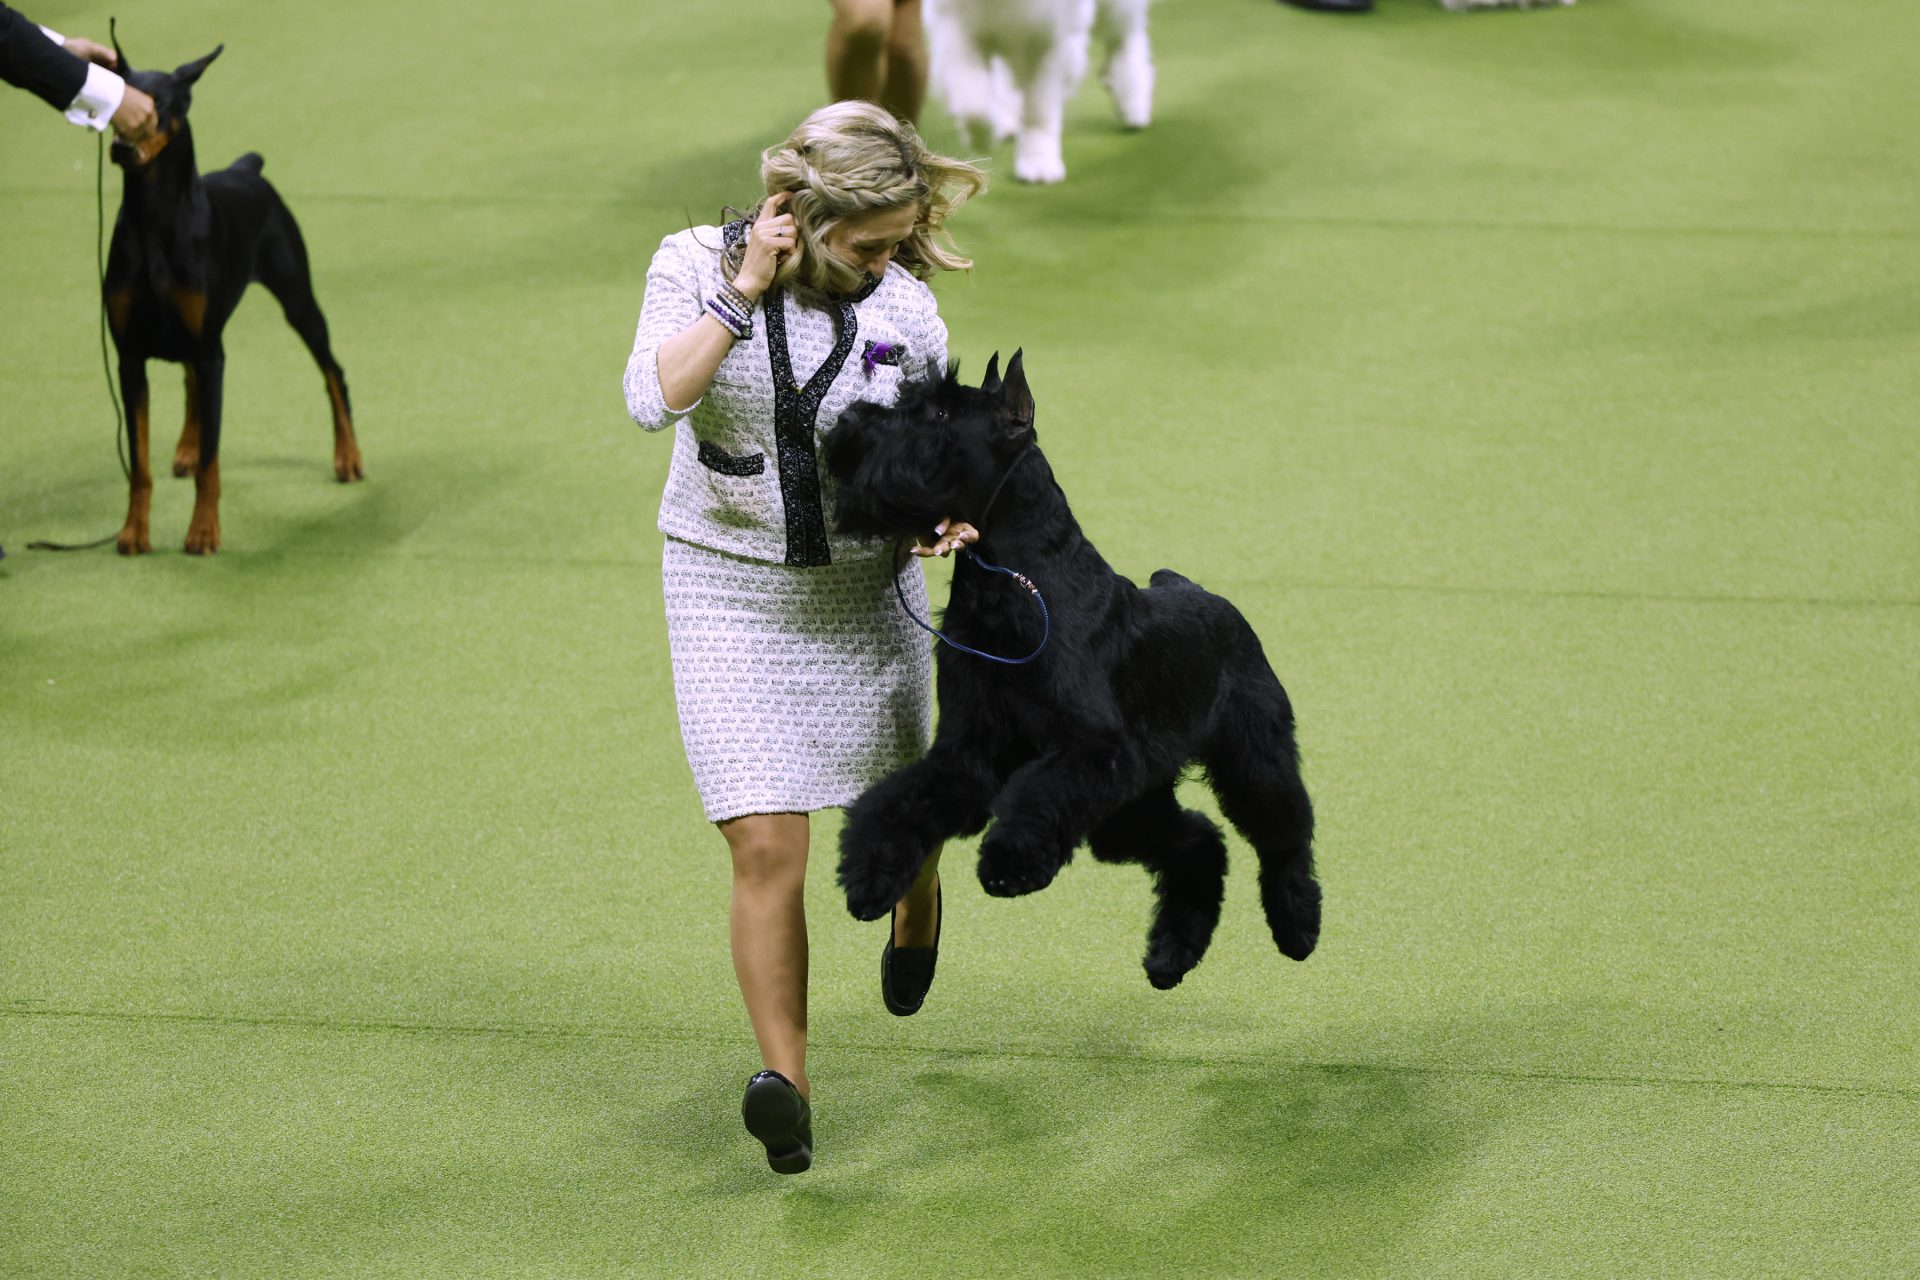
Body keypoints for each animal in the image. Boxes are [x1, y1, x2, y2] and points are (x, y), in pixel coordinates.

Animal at [105, 38, 360, 552]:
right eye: (118, 102)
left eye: (158, 104)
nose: (121, 148)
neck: (153, 219)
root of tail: (247, 168)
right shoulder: (129, 358)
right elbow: (139, 464)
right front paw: (134, 531)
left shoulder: (210, 352)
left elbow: (212, 462)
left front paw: (203, 531)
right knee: (189, 383)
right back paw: (185, 447)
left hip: (297, 298)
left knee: (333, 373)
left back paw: (347, 457)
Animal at [825, 353, 1320, 990]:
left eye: (939, 414)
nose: (846, 424)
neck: (1011, 585)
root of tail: (1196, 590)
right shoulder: (970, 752)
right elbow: (900, 802)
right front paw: (871, 875)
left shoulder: (1092, 751)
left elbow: (1036, 798)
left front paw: (1008, 863)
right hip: (1128, 809)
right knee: (1199, 842)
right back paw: (1171, 955)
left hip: (1251, 760)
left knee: (1283, 834)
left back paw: (1297, 925)